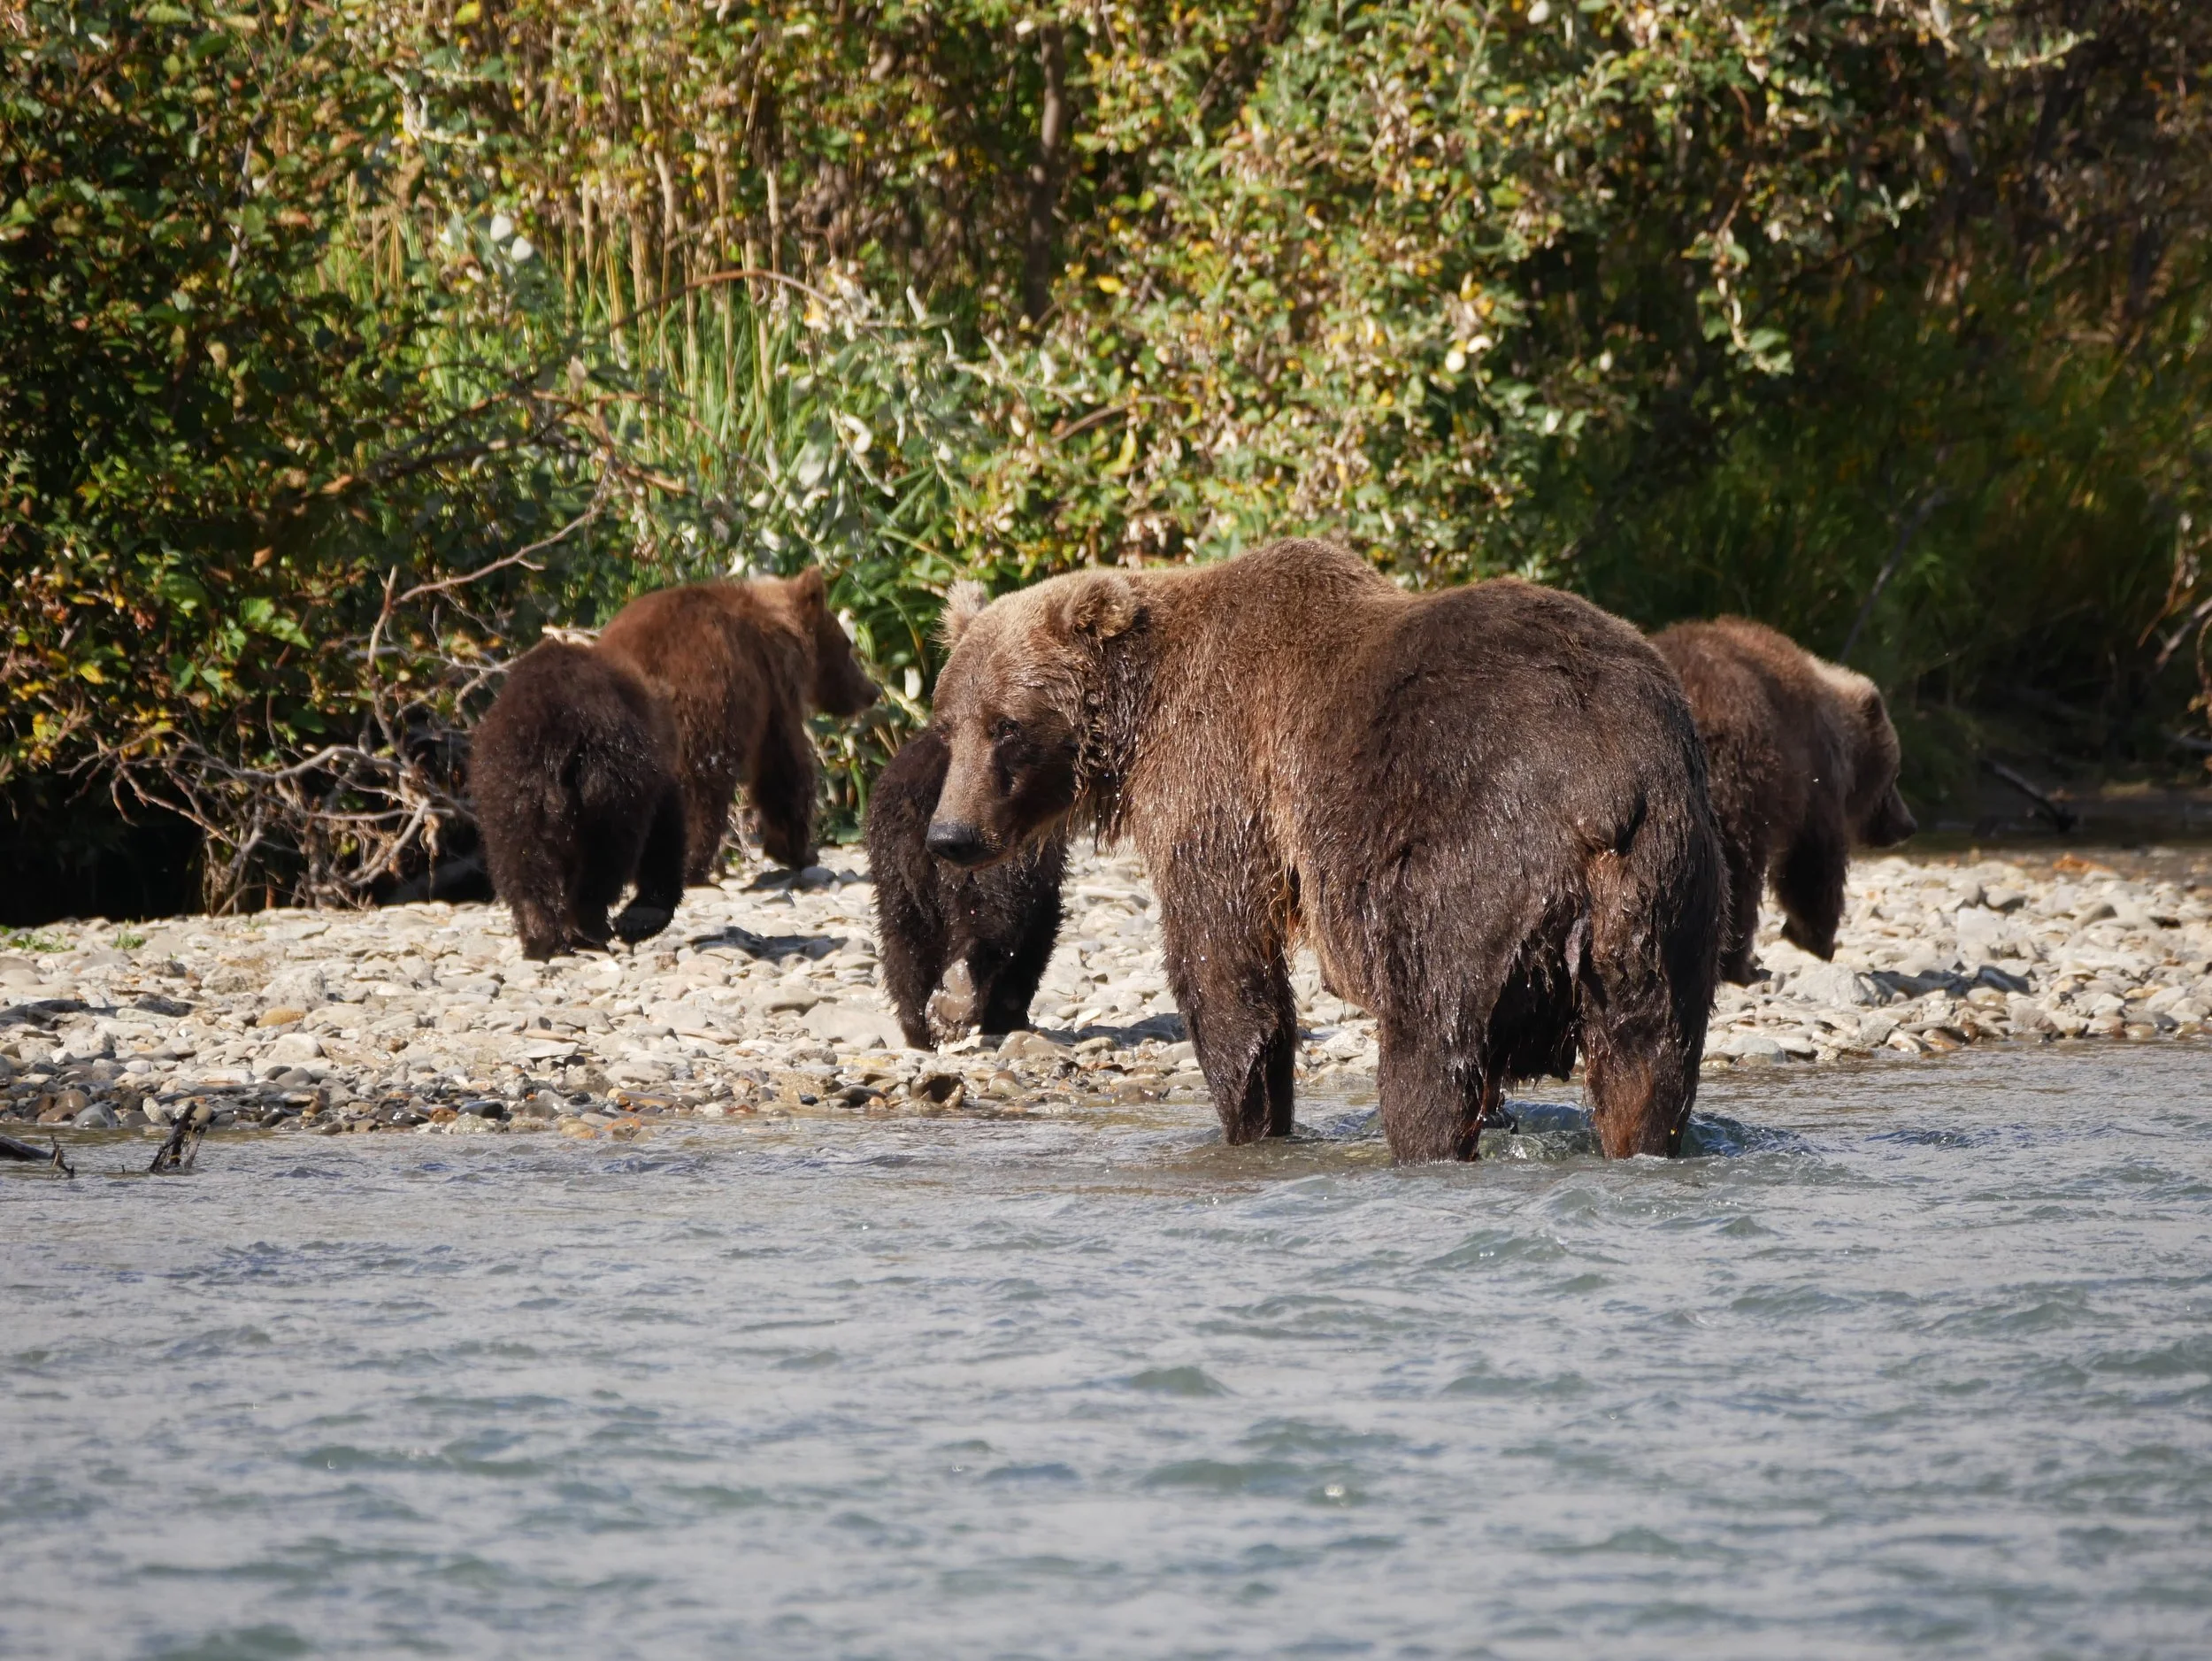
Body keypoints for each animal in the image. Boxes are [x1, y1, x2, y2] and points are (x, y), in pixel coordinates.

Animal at [469, 639, 687, 960]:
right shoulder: (653, 775)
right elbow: (664, 833)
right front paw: (642, 916)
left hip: (507, 782)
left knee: (520, 856)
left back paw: (540, 936)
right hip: (611, 777)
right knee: (607, 852)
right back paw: (590, 926)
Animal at [594, 568, 879, 884]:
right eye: (848, 645)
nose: (872, 691)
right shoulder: (774, 686)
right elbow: (784, 764)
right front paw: (799, 851)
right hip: (701, 712)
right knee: (702, 789)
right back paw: (691, 864)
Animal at [864, 722, 1068, 1049]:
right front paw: (1006, 1017)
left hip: (896, 858)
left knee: (904, 937)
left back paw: (923, 1026)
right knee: (991, 917)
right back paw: (957, 995)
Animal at [922, 541, 1723, 1163]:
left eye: (1007, 725)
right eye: (947, 725)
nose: (950, 835)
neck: (1139, 712)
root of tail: (1607, 776)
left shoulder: (1218, 775)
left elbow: (1223, 964)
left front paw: (1252, 1122)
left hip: (1479, 850)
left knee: (1432, 1035)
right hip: (1663, 888)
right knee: (1648, 1059)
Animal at [1651, 618, 1916, 984]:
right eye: (1895, 775)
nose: (1908, 824)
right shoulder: (1812, 779)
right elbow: (1813, 862)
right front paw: (1815, 938)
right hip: (1734, 781)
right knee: (1738, 875)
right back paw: (1736, 964)